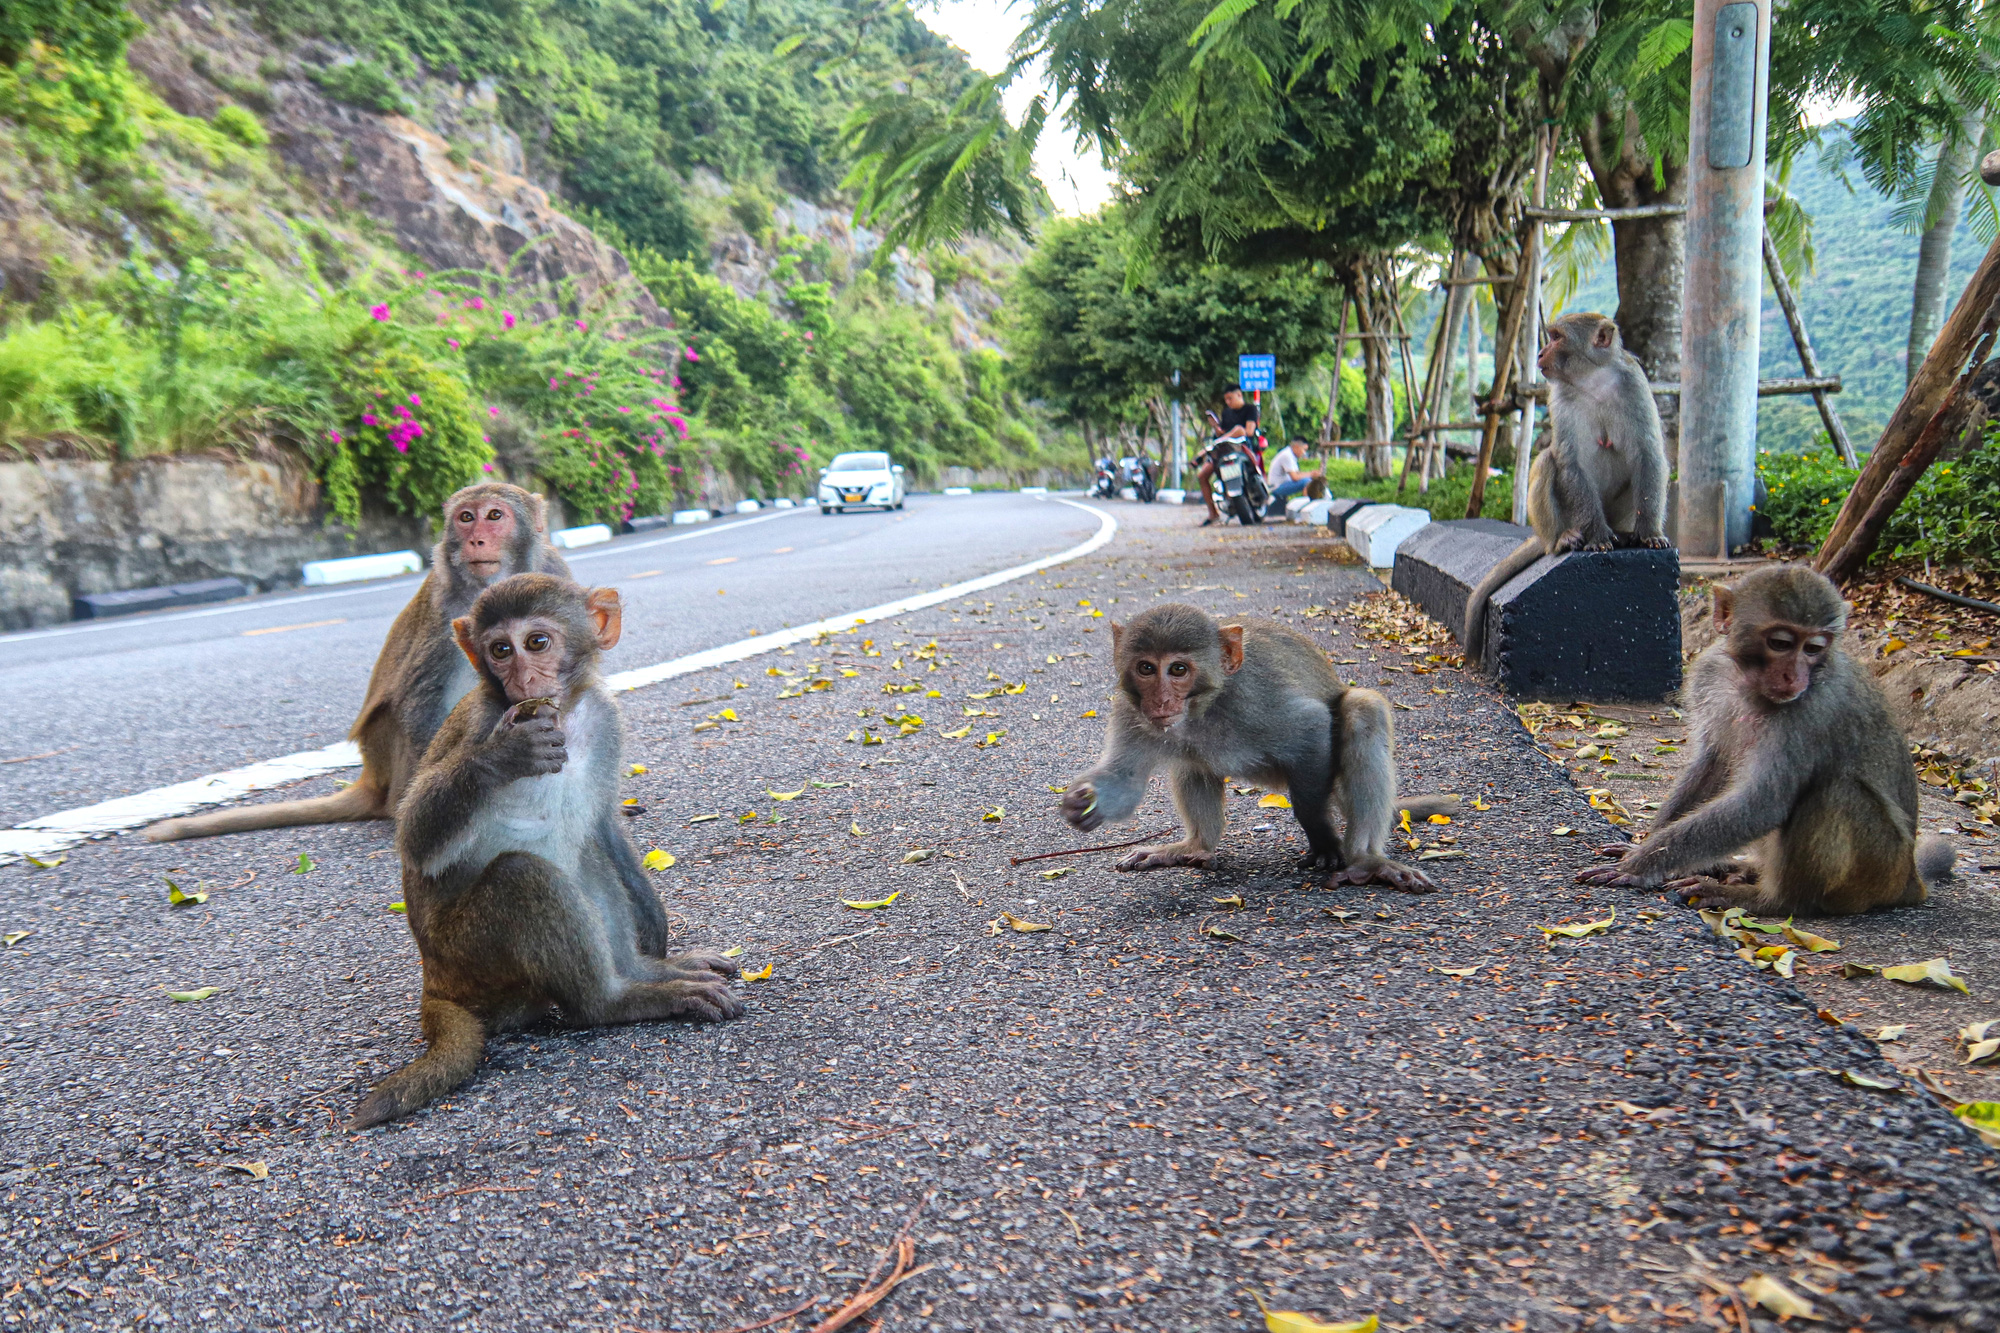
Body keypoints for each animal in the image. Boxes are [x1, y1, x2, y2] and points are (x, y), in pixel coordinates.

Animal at [146, 480, 572, 840]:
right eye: (466, 517)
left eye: (494, 515)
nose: (476, 539)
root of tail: (374, 776)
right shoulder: (446, 604)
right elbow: (419, 701)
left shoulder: (553, 574)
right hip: (390, 754)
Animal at [352, 572, 744, 1120]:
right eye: (500, 650)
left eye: (536, 643)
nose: (523, 679)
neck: (567, 716)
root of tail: (435, 978)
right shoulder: (479, 720)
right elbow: (415, 842)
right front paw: (503, 755)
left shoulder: (604, 716)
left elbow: (602, 825)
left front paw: (658, 932)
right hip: (472, 957)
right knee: (522, 875)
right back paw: (613, 1003)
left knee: (586, 858)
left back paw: (643, 971)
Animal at [1064, 600, 1456, 892]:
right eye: (1146, 668)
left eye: (1177, 670)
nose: (1160, 702)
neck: (1205, 708)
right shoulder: (1130, 710)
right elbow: (1126, 781)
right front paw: (1082, 802)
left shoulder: (1255, 702)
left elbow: (1313, 726)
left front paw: (1321, 836)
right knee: (1191, 761)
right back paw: (1195, 847)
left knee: (1363, 709)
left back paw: (1366, 862)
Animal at [1456, 312, 1672, 664]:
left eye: (1557, 338)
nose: (1541, 352)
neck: (1593, 380)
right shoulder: (1559, 397)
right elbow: (1571, 462)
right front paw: (1597, 537)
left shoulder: (1634, 384)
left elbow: (1648, 454)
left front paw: (1650, 532)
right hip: (1563, 520)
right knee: (1548, 461)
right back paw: (1562, 539)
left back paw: (1625, 533)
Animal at [1576, 560, 1952, 912]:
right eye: (1781, 643)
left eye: (1813, 648)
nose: (1794, 676)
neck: (1748, 683)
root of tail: (1909, 879)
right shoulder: (1709, 674)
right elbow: (1713, 765)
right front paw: (1642, 847)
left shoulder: (1810, 711)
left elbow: (1762, 802)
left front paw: (1640, 865)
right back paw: (1741, 870)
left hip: (1877, 867)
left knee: (1837, 791)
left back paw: (1771, 900)